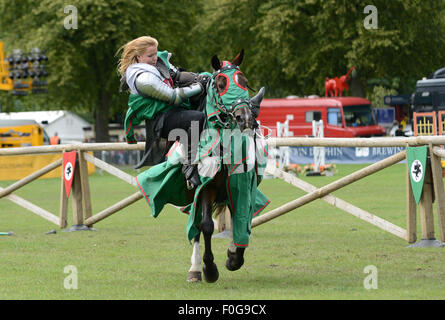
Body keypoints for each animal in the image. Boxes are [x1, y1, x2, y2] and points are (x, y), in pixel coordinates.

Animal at [183, 50, 268, 282]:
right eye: (221, 84)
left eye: (244, 82)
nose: (245, 118)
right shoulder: (206, 187)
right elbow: (205, 225)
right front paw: (209, 268)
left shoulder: (242, 186)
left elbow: (243, 218)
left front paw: (233, 257)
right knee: (196, 225)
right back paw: (195, 269)